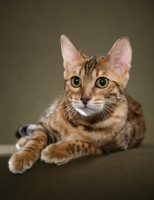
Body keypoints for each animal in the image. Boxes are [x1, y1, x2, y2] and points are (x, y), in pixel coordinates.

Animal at [8, 35, 146, 173]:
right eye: (76, 81)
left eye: (102, 82)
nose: (84, 98)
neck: (81, 121)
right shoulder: (46, 126)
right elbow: (37, 138)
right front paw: (23, 156)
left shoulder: (112, 147)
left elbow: (80, 143)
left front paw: (56, 150)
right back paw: (23, 141)